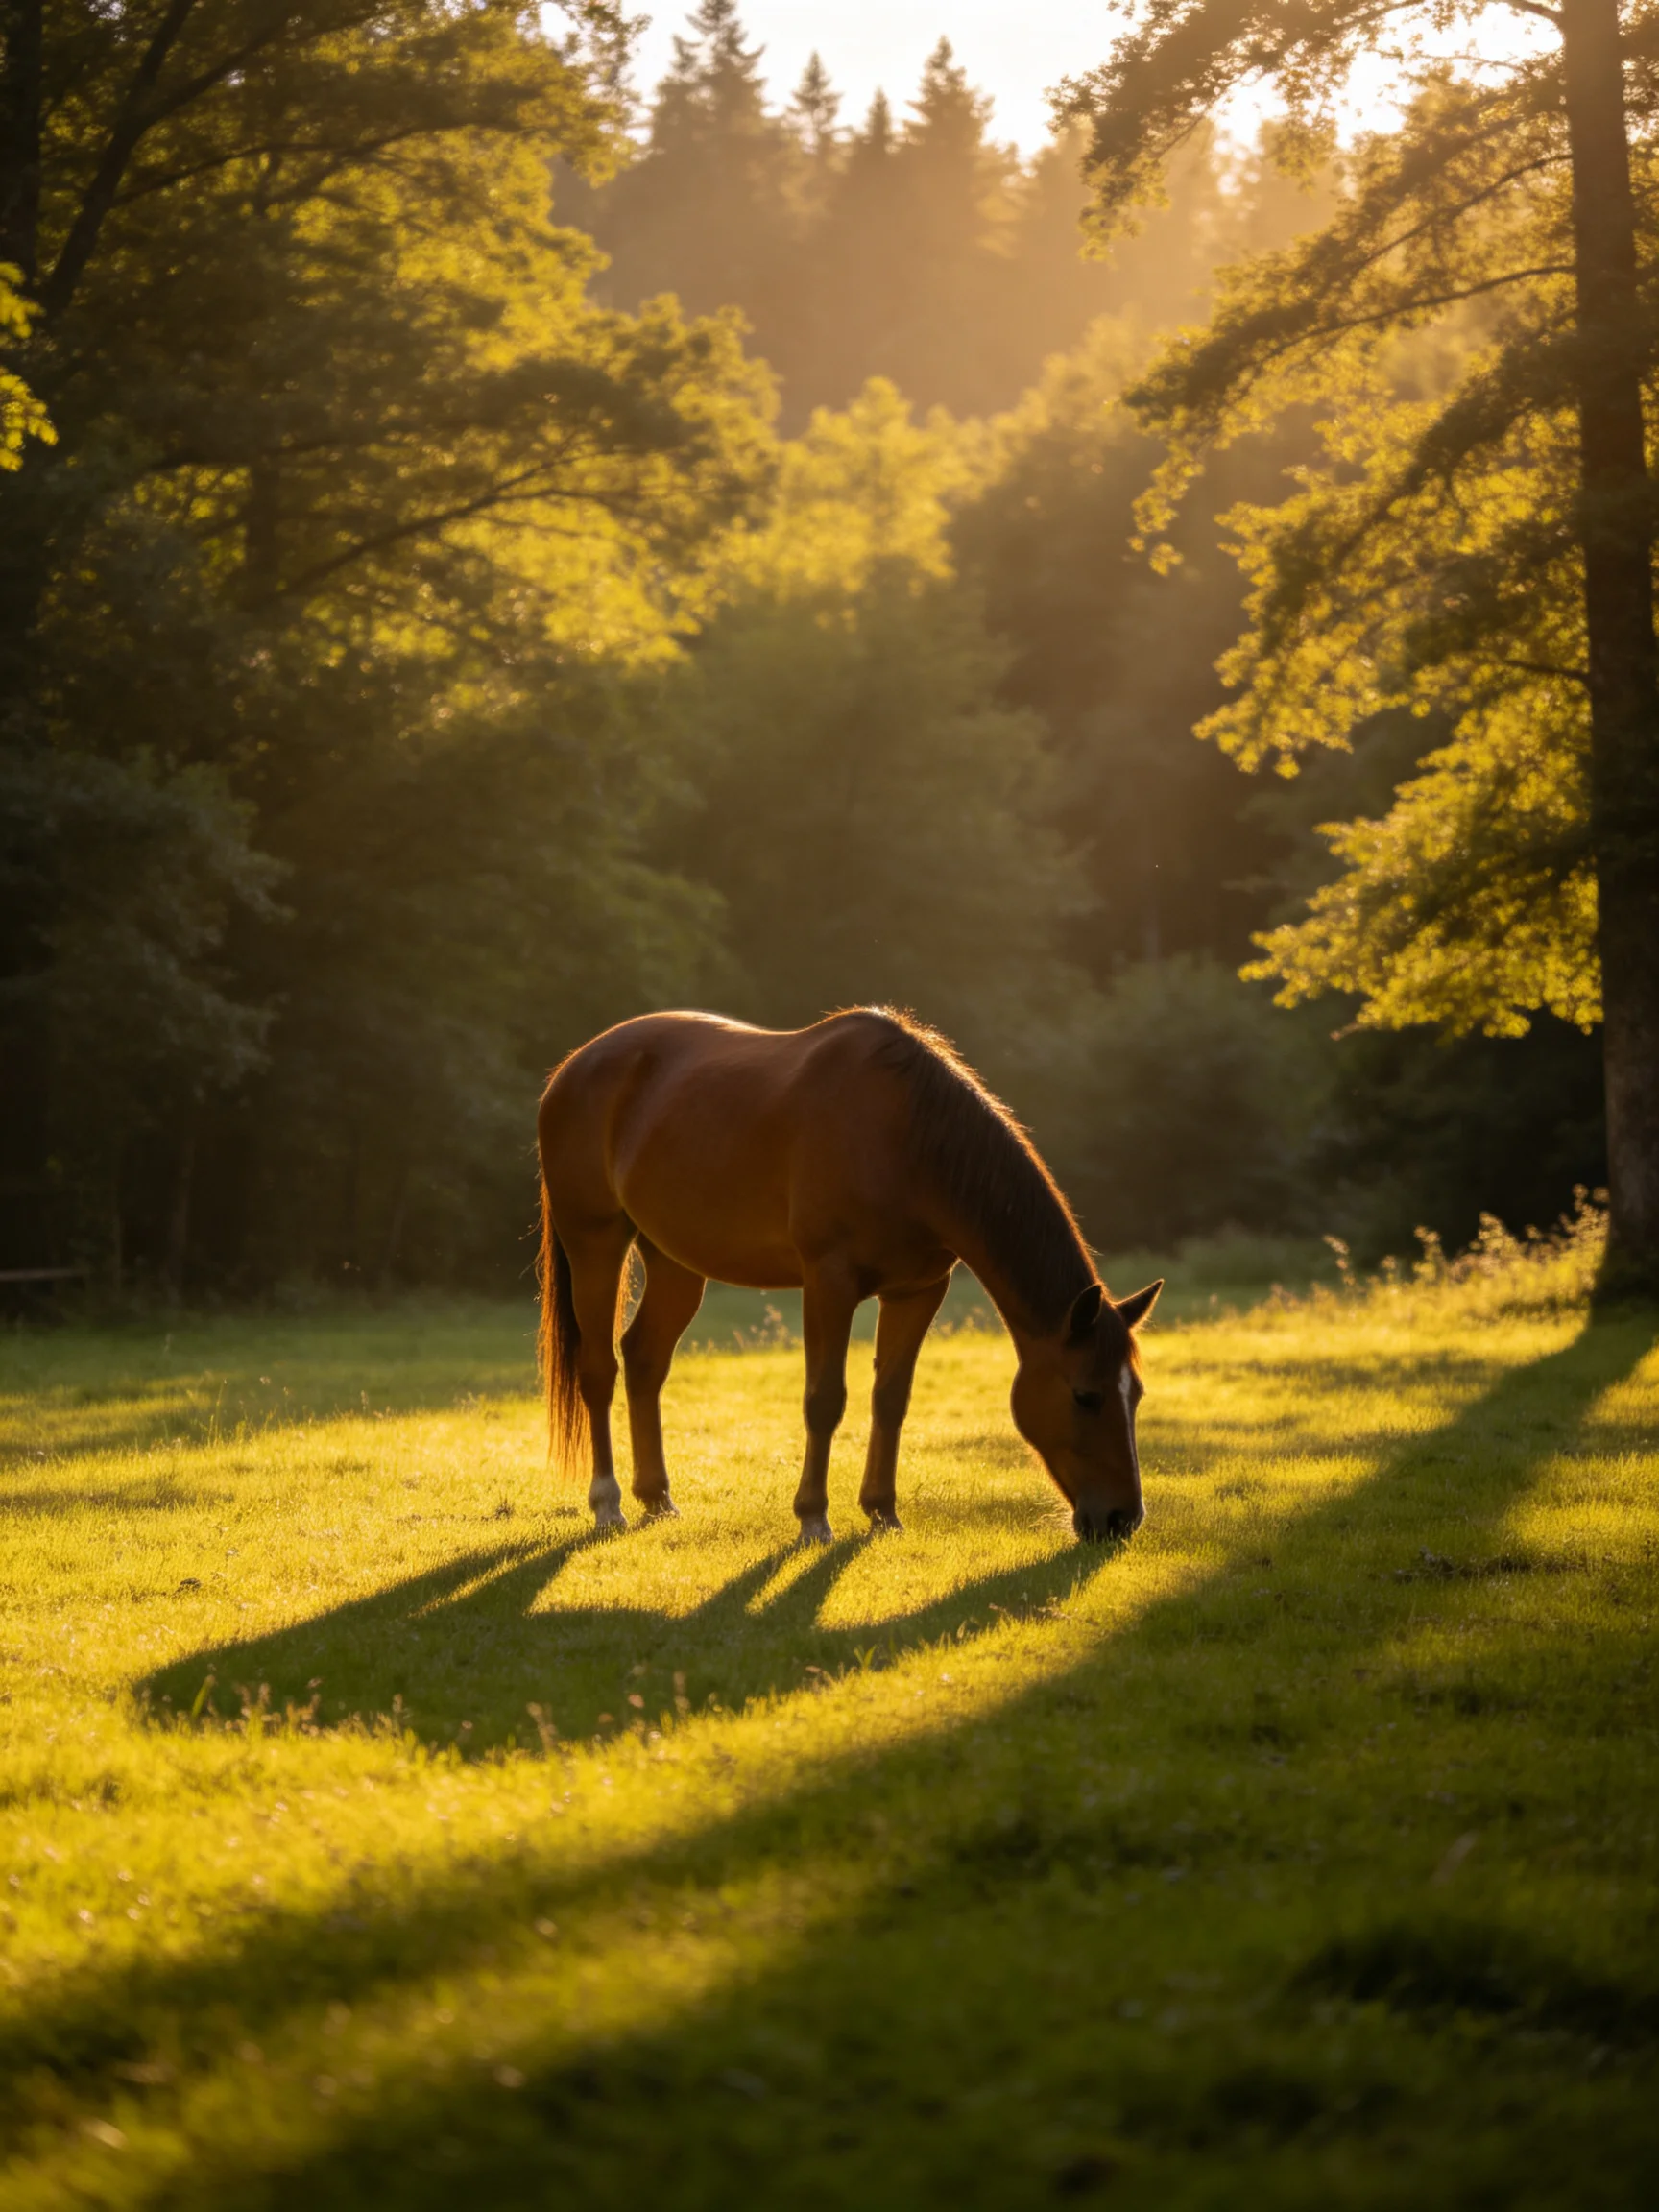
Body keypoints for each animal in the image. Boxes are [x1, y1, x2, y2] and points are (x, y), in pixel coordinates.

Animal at [536, 1007, 1161, 1543]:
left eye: (1135, 1394)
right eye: (1085, 1396)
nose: (1122, 1518)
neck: (906, 1138)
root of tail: (571, 1068)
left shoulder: (917, 1292)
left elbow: (891, 1398)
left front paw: (882, 1511)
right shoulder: (828, 1284)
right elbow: (825, 1399)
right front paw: (813, 1518)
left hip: (675, 1263)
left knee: (644, 1360)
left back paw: (658, 1497)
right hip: (595, 1241)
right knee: (599, 1370)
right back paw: (608, 1503)